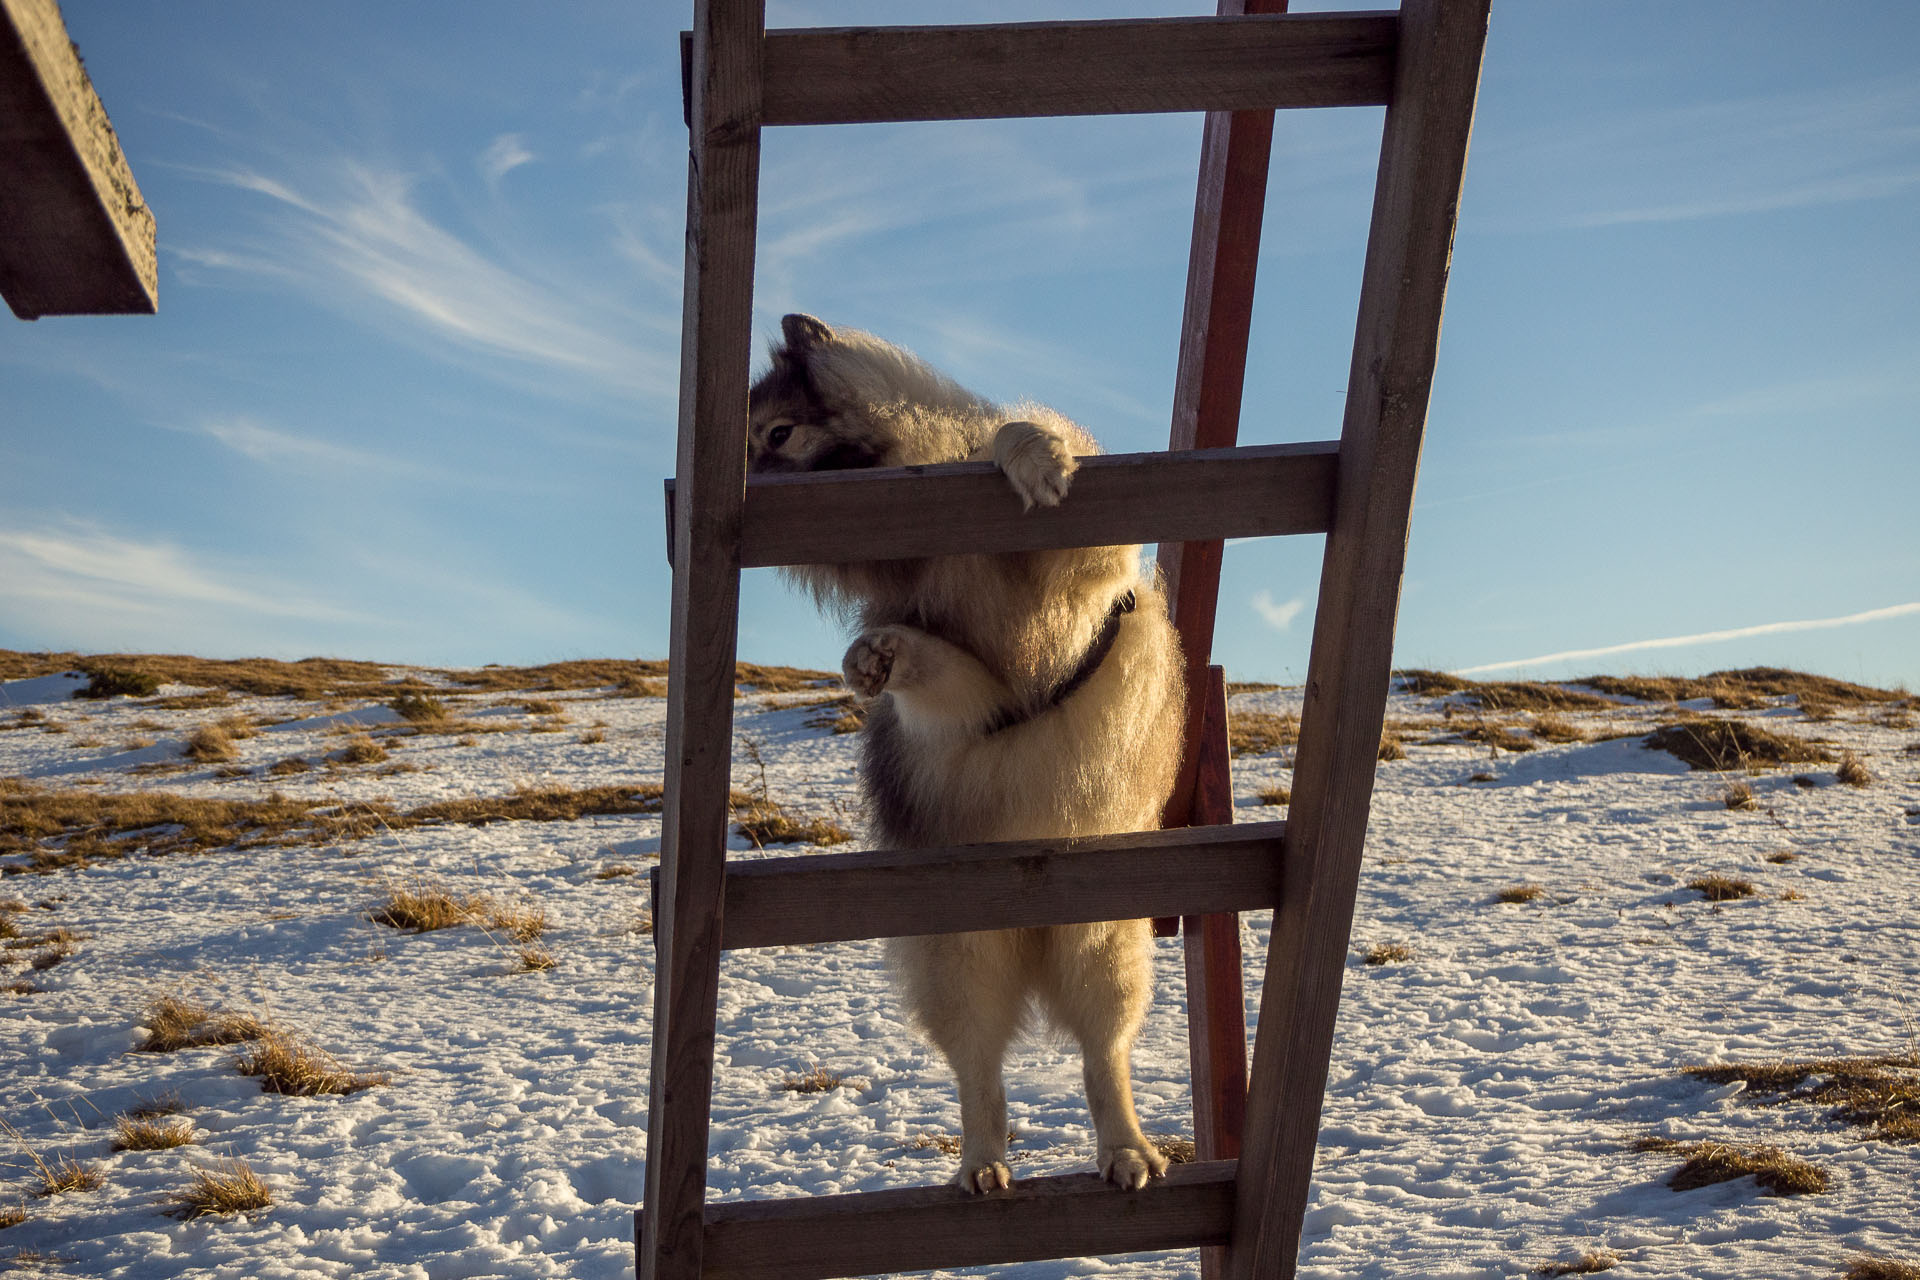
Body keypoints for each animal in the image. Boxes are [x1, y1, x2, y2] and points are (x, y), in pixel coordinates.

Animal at [748, 314, 1182, 1197]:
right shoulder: (969, 700)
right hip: (962, 962)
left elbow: (1020, 443)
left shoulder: (1083, 578)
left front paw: (1034, 458)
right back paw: (983, 1165)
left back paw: (1125, 1150)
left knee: (1104, 1059)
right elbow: (935, 676)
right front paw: (877, 659)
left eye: (776, 433)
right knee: (981, 1074)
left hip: (1103, 947)